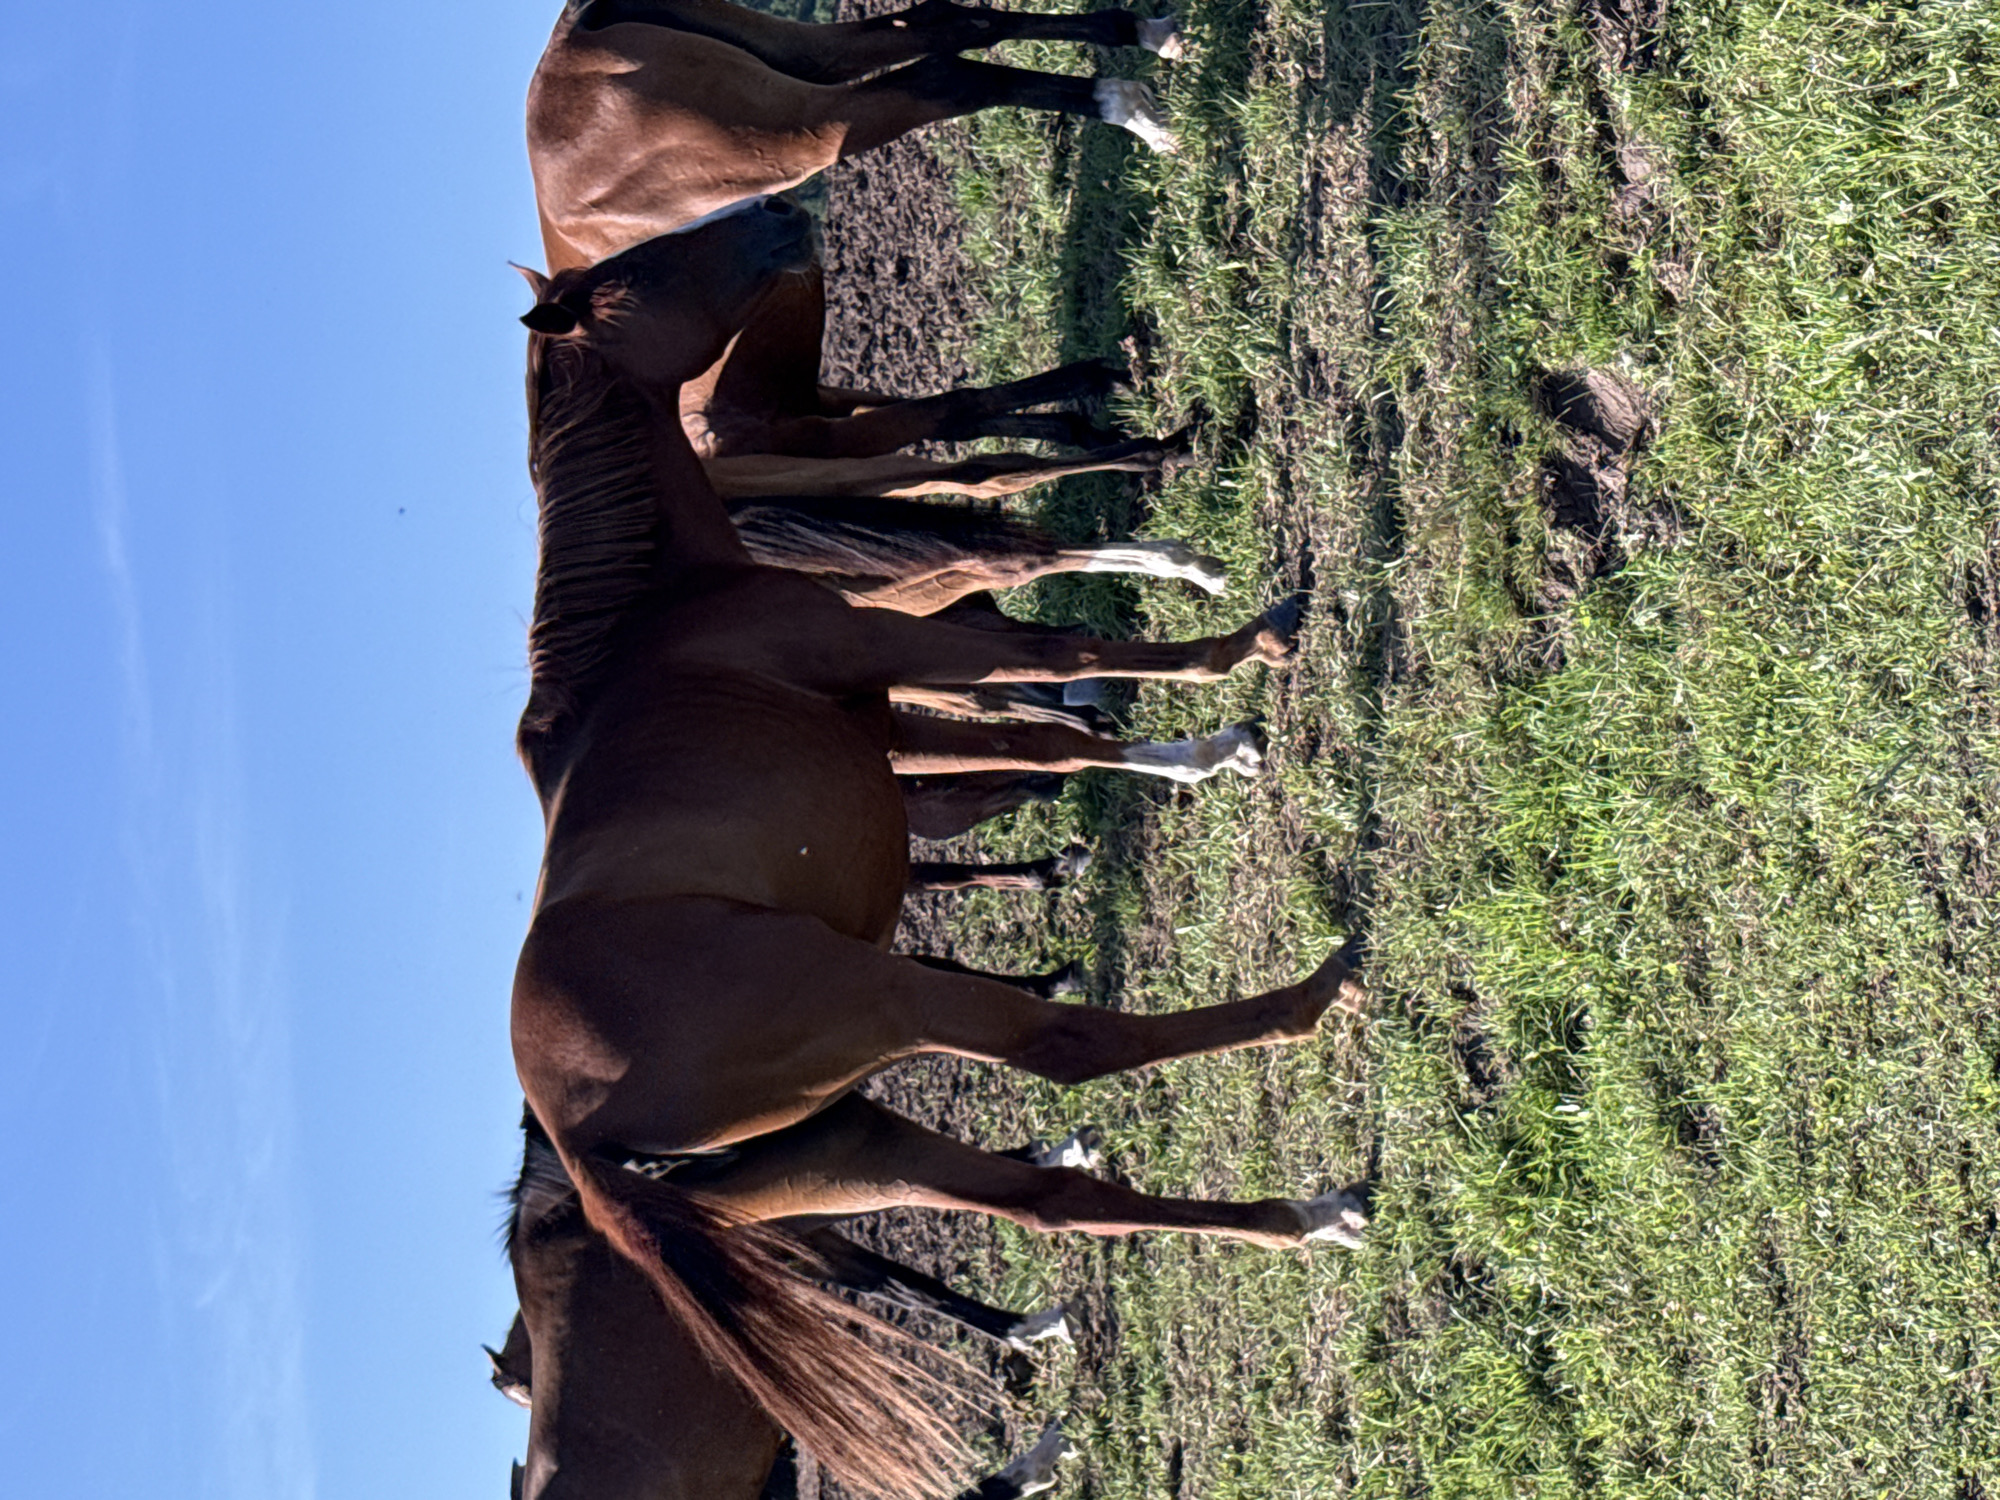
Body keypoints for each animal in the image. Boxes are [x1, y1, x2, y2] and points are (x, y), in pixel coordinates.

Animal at [510, 204, 1367, 1498]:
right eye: (637, 270)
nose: (780, 213)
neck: (660, 611)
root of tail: (570, 1137)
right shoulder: (892, 647)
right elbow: (1052, 656)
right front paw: (1235, 657)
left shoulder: (896, 690)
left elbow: (1046, 720)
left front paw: (1191, 726)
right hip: (877, 998)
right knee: (1070, 1048)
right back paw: (1312, 1003)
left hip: (838, 1142)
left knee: (1049, 1204)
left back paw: (1297, 1219)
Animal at [528, 0, 1182, 274]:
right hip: (799, 54)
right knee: (947, 24)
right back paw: (1148, 37)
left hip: (804, 129)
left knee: (944, 77)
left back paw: (1136, 113)